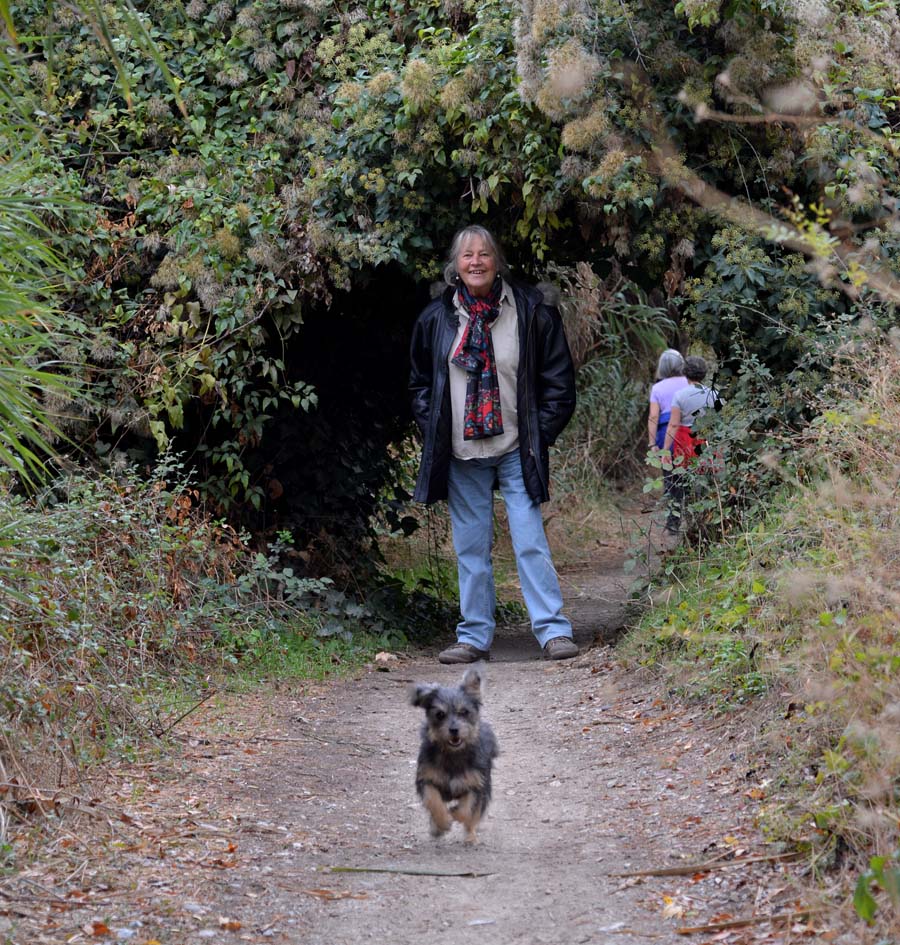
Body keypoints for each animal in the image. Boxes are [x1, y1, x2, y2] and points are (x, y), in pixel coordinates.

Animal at [409, 667, 498, 843]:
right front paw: (442, 823)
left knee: (473, 818)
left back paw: (470, 837)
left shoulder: (476, 785)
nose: (454, 730)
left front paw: (454, 813)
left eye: (464, 712)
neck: (453, 755)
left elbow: (466, 810)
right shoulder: (426, 779)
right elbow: (434, 801)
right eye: (440, 714)